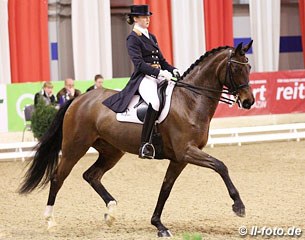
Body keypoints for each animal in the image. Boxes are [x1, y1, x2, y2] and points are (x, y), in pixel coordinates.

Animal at [18, 40, 252, 236]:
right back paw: (50, 221)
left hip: (112, 151)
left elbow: (165, 189)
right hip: (75, 147)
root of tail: (78, 99)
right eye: (236, 68)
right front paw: (238, 206)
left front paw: (159, 225)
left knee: (91, 175)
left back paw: (111, 213)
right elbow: (220, 166)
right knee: (58, 177)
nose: (249, 101)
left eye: (249, 68)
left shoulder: (180, 159)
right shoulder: (186, 151)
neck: (190, 101)